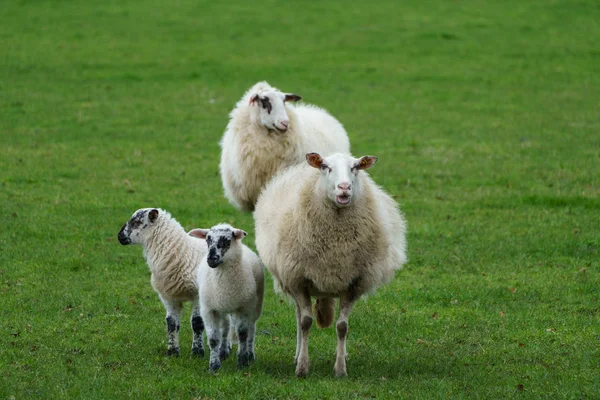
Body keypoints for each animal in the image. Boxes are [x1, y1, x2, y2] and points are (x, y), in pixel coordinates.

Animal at [117, 208, 218, 358]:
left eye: (136, 221)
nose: (119, 236)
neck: (182, 252)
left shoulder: (197, 295)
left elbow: (197, 323)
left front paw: (197, 352)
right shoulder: (168, 296)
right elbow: (171, 323)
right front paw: (172, 352)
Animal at [188, 223, 262, 374]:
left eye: (227, 241)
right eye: (207, 240)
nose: (211, 259)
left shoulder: (243, 307)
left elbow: (243, 335)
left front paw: (242, 361)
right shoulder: (209, 309)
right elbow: (213, 339)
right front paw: (214, 366)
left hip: (254, 306)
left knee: (251, 329)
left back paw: (250, 354)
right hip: (222, 307)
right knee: (225, 327)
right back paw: (223, 351)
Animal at [253, 152, 408, 376]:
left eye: (355, 167)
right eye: (325, 167)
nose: (344, 187)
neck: (336, 245)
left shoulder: (354, 284)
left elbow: (342, 326)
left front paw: (340, 368)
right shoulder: (299, 281)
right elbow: (305, 322)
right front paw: (302, 367)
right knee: (299, 317)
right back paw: (297, 354)